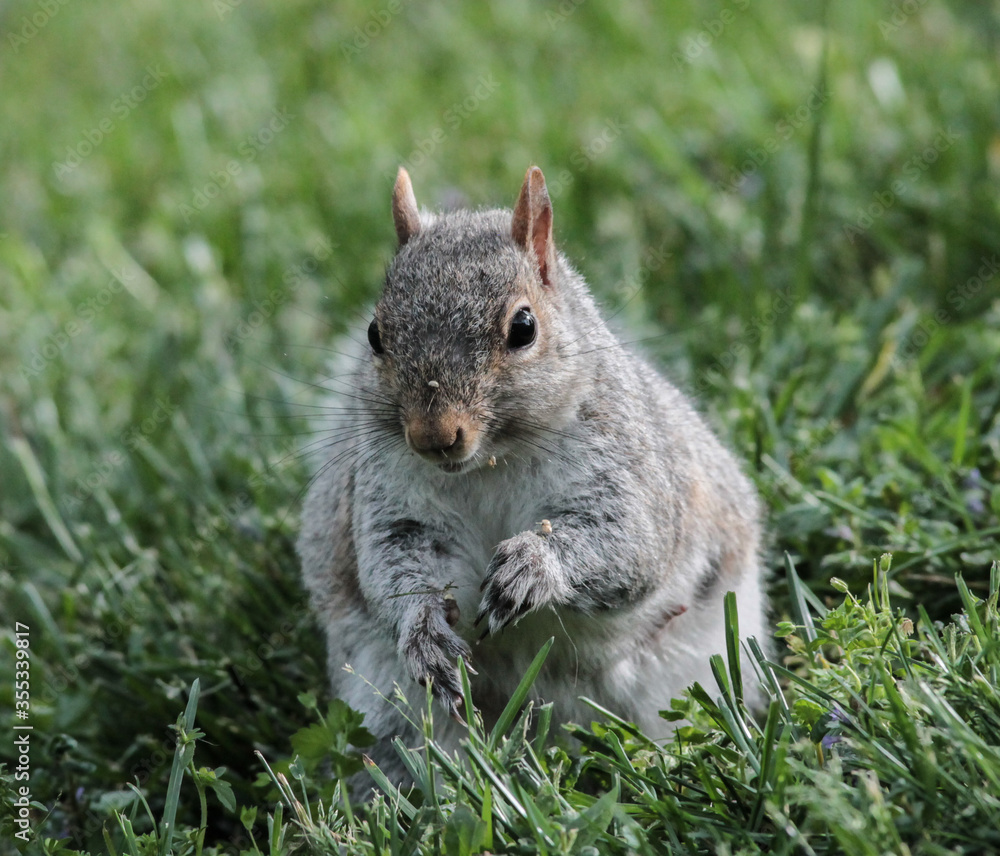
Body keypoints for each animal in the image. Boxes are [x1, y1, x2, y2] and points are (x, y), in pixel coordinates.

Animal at [297, 166, 767, 785]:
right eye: (375, 334)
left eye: (524, 327)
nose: (433, 436)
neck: (490, 463)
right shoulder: (391, 498)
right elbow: (393, 563)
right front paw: (423, 629)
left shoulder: (623, 467)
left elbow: (630, 543)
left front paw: (532, 567)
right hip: (391, 701)